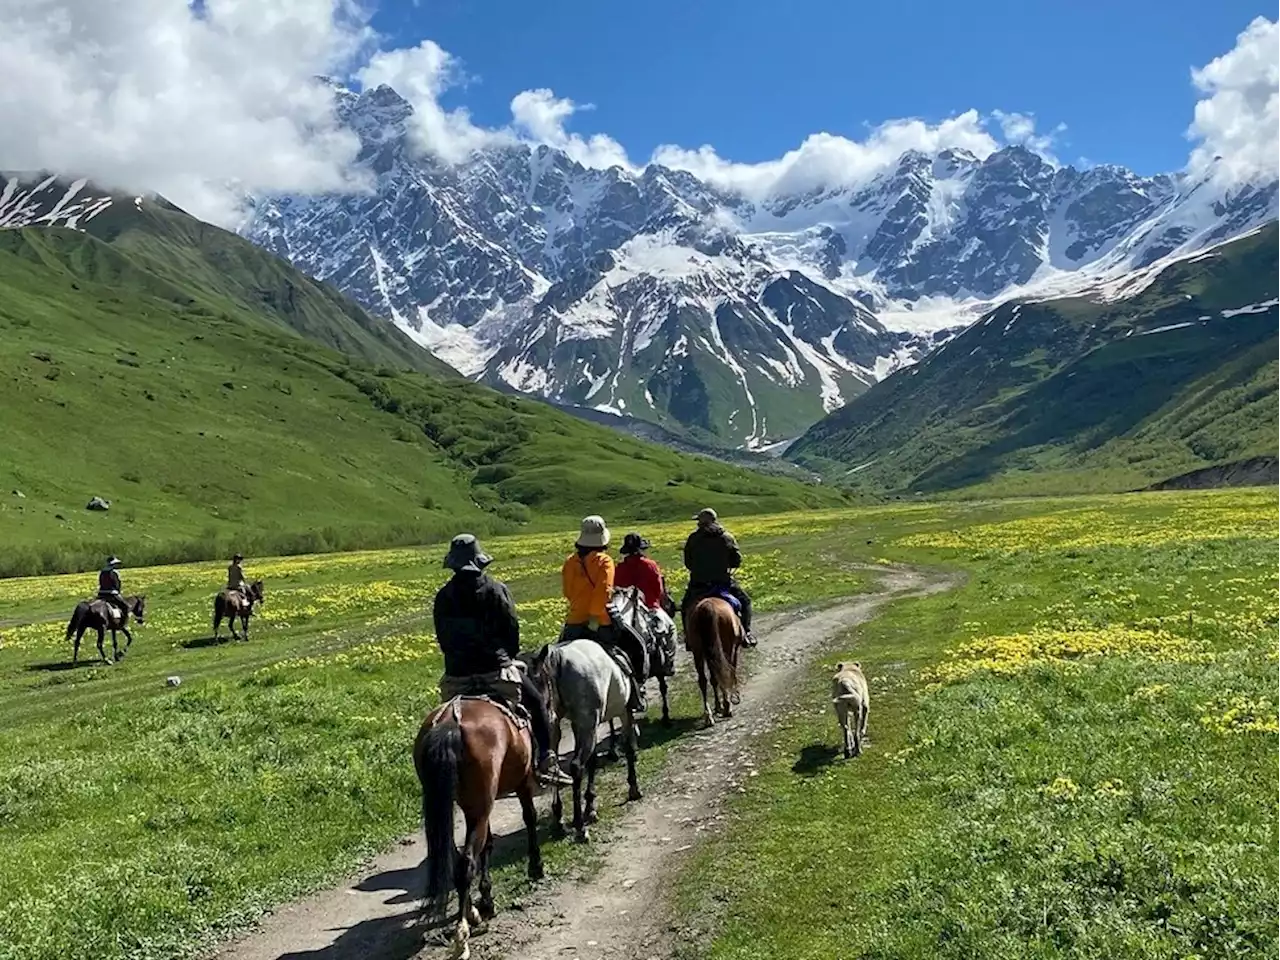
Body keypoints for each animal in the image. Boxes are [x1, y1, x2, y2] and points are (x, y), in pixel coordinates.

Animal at [414, 701, 545, 960]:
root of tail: (450, 721)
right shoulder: (523, 780)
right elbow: (529, 817)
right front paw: (536, 866)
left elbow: (488, 844)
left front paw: (486, 898)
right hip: (481, 804)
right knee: (466, 863)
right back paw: (462, 938)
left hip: (455, 803)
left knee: (456, 857)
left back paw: (471, 913)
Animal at [524, 642, 640, 844]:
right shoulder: (620, 714)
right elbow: (628, 748)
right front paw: (633, 788)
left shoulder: (577, 725)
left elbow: (592, 761)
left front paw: (590, 806)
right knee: (577, 766)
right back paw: (580, 827)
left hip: (555, 726)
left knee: (555, 764)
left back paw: (559, 820)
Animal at [680, 599, 742, 727]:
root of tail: (707, 606)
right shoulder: (733, 649)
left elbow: (714, 679)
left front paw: (718, 706)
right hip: (726, 647)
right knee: (725, 672)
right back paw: (727, 707)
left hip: (698, 651)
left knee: (703, 680)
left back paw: (708, 716)